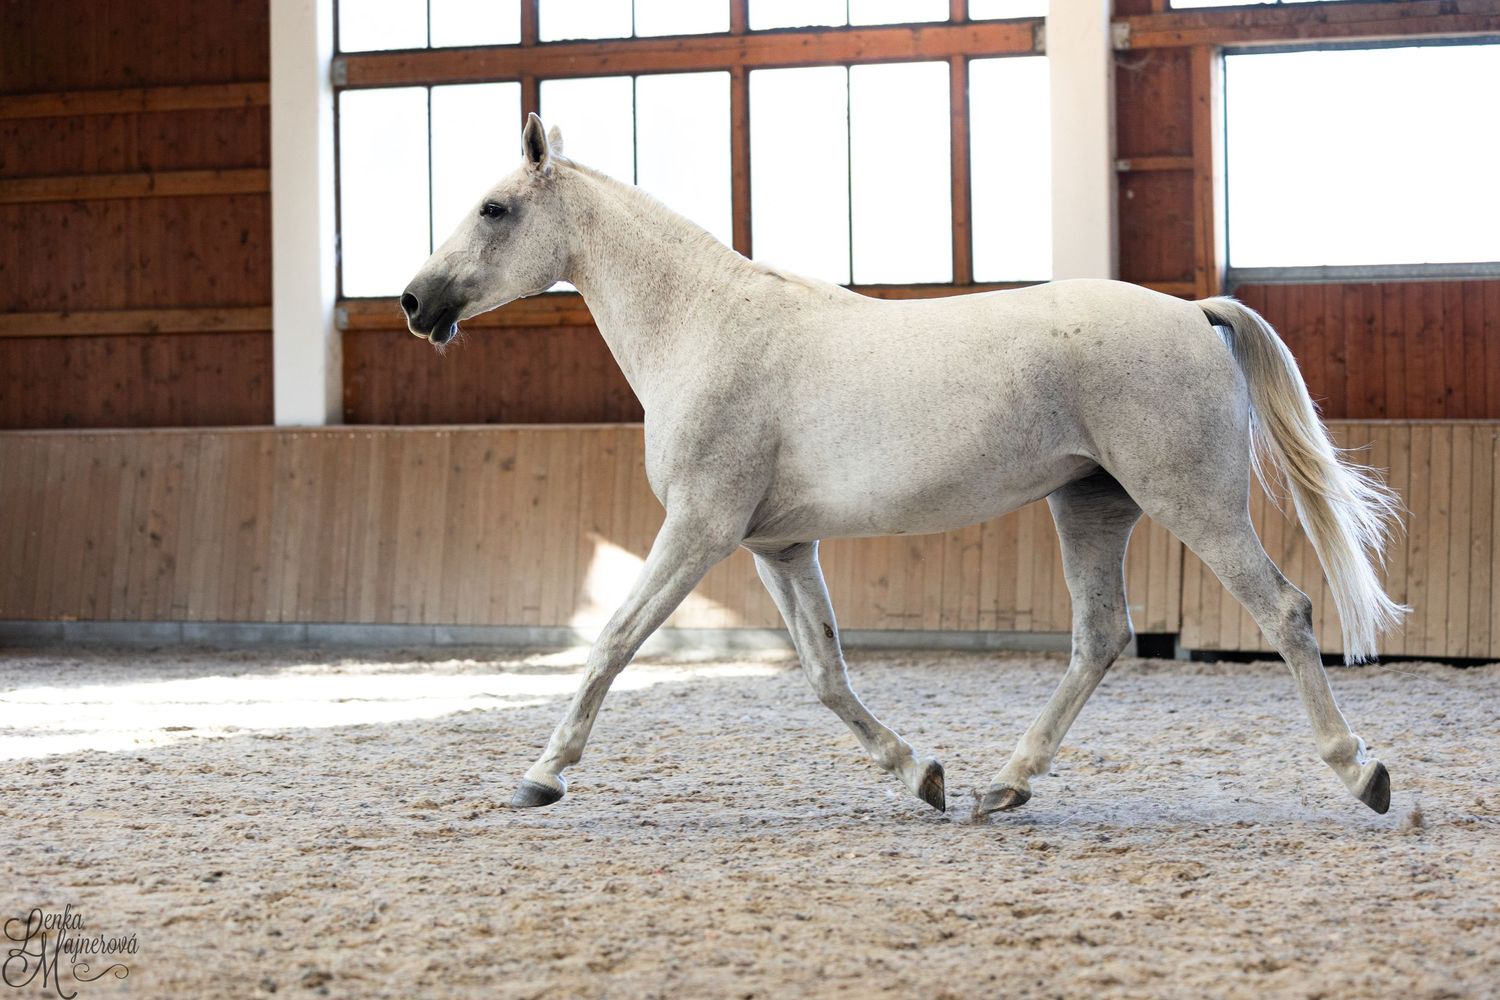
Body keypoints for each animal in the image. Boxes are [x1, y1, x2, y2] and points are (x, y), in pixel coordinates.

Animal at [400, 114, 1405, 818]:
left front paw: (541, 776)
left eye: (494, 208)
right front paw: (921, 774)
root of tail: (1195, 313)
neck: (704, 324)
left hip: (1191, 504)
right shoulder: (778, 546)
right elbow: (825, 673)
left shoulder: (699, 529)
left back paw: (1361, 773)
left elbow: (612, 640)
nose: (415, 301)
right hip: (1091, 508)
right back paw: (1003, 786)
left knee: (1283, 610)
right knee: (1100, 639)